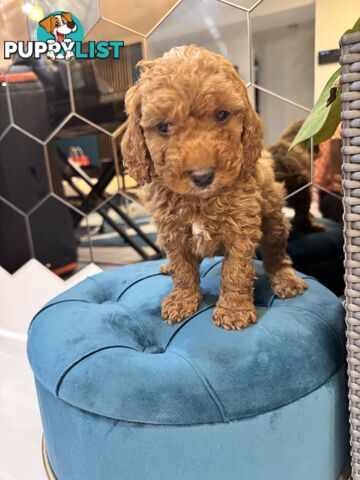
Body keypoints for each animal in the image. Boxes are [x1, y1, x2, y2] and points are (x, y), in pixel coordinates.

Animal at [121, 45, 306, 330]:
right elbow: (183, 269)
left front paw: (233, 310)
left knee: (276, 249)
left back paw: (285, 278)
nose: (203, 176)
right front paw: (182, 300)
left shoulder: (241, 229)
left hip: (273, 215)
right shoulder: (172, 232)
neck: (199, 200)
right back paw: (167, 268)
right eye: (163, 127)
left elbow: (235, 270)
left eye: (221, 115)